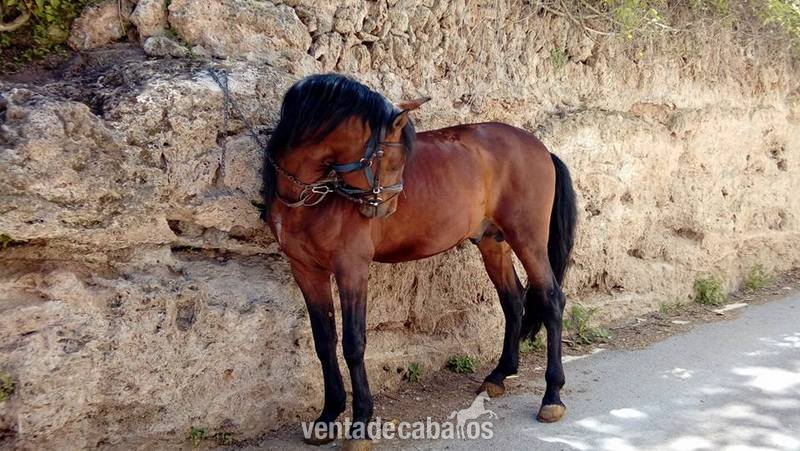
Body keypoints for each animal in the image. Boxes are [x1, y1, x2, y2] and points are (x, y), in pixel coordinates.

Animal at [261, 73, 577, 449]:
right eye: (394, 159)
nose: (384, 209)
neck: (309, 199)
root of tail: (540, 148)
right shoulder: (306, 271)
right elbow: (324, 342)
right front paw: (328, 416)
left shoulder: (352, 269)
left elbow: (354, 344)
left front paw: (361, 423)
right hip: (493, 243)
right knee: (513, 300)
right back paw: (499, 375)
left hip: (528, 239)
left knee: (552, 300)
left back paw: (552, 396)